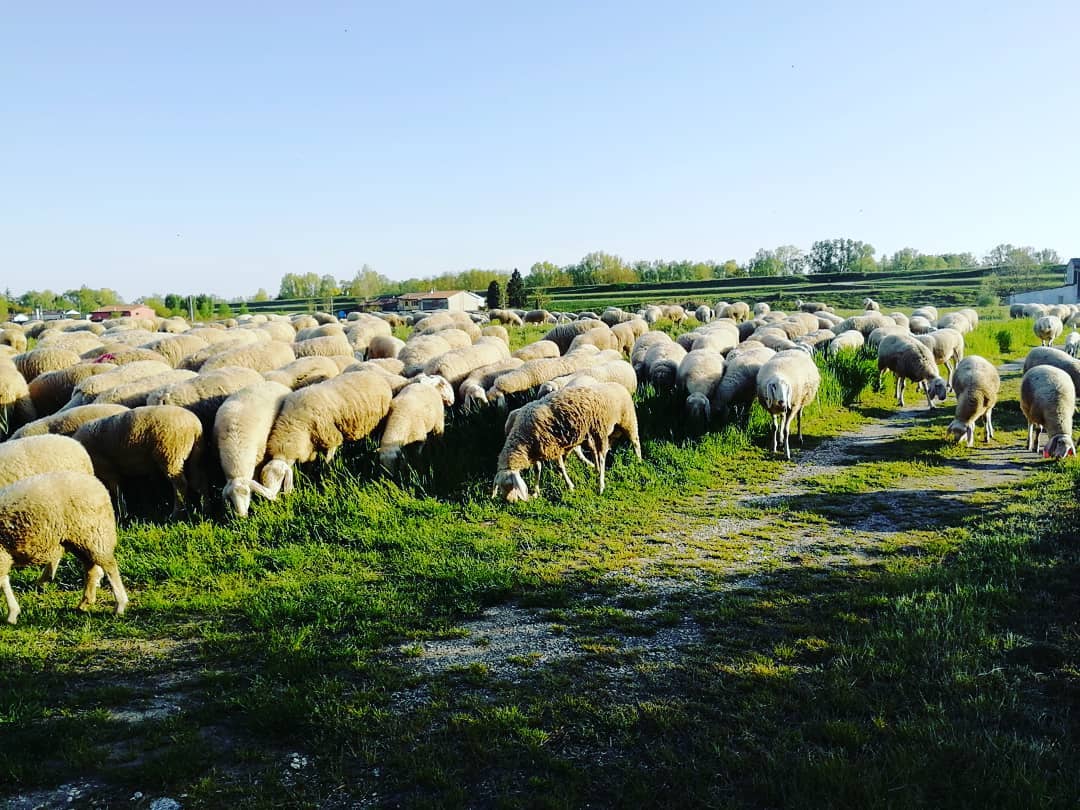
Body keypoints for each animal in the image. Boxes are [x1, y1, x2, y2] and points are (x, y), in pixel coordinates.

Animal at [0, 473, 127, 626]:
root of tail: (95, 482)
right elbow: (4, 581)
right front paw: (13, 612)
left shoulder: (2, 553)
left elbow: (3, 582)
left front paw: (12, 614)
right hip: (77, 540)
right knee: (90, 568)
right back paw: (84, 603)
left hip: (95, 534)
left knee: (110, 567)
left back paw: (119, 605)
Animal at [494, 382, 639, 501]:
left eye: (509, 484)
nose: (509, 502)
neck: (522, 440)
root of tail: (619, 386)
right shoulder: (536, 451)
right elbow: (538, 470)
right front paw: (536, 492)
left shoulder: (553, 446)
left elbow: (560, 467)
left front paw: (570, 485)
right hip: (595, 431)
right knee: (598, 452)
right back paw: (597, 470)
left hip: (620, 422)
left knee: (630, 443)